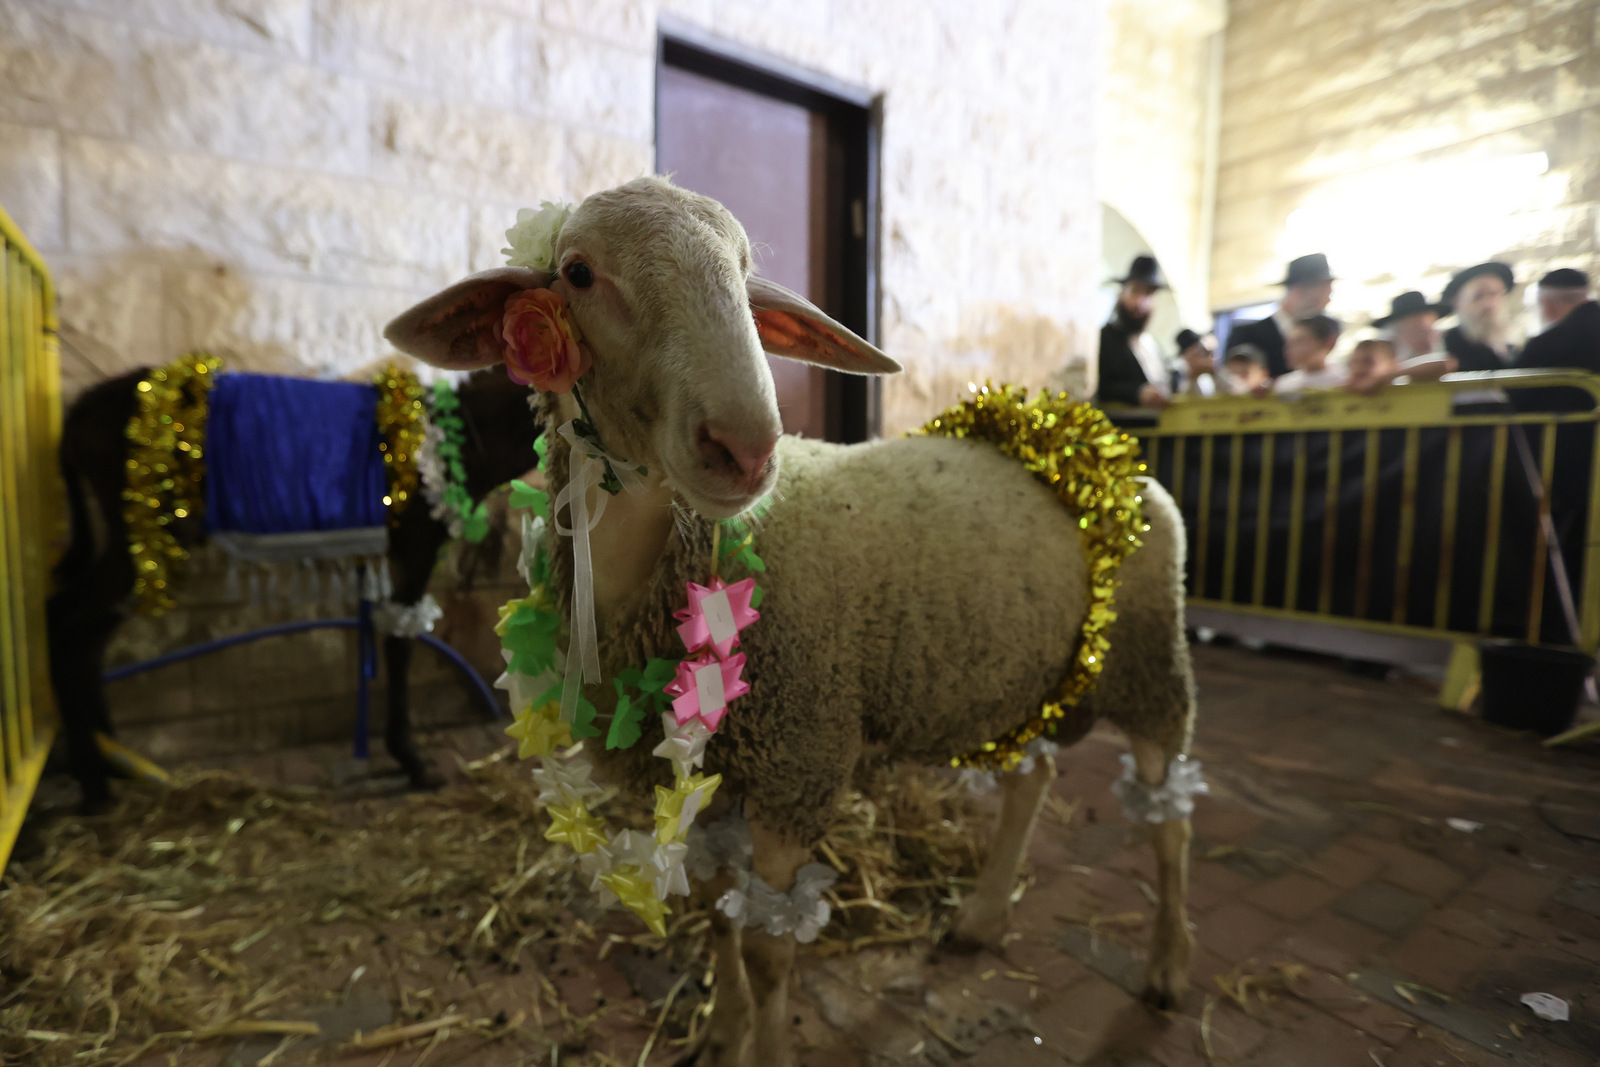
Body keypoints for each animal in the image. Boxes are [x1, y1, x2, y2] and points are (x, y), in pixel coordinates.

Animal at [380, 179, 1196, 1067]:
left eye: (744, 273)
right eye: (578, 272)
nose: (744, 447)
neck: (661, 571)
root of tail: (1092, 450)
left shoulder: (795, 762)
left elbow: (770, 947)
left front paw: (760, 1038)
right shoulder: (706, 770)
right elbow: (712, 909)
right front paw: (721, 1030)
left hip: (1151, 666)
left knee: (1167, 820)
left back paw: (1165, 967)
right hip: (1024, 678)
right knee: (1033, 779)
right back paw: (980, 921)